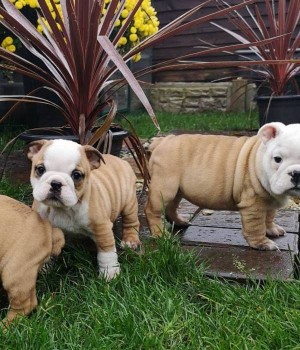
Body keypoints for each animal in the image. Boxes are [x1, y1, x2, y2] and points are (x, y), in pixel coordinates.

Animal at [27, 139, 140, 278]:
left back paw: (130, 241)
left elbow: (106, 253)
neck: (62, 209)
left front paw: (110, 274)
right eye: (40, 169)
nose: (56, 183)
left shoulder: (102, 228)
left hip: (129, 203)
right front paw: (44, 267)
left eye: (76, 175)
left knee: (131, 222)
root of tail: (121, 160)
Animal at [145, 121, 300, 250]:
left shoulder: (269, 201)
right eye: (277, 159)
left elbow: (269, 216)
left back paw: (179, 221)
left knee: (171, 206)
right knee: (153, 210)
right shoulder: (253, 205)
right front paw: (262, 243)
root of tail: (162, 140)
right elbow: (256, 226)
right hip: (165, 187)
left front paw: (271, 229)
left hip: (177, 190)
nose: (297, 173)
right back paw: (160, 234)